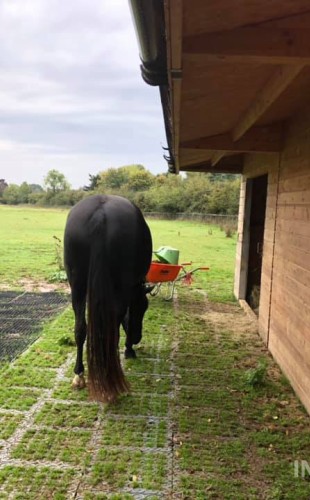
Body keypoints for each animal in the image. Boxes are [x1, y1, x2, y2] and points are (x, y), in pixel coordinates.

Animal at [64, 195, 153, 402]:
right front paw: (129, 350)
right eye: (143, 307)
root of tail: (100, 215)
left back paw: (79, 375)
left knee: (80, 328)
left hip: (77, 284)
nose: (137, 338)